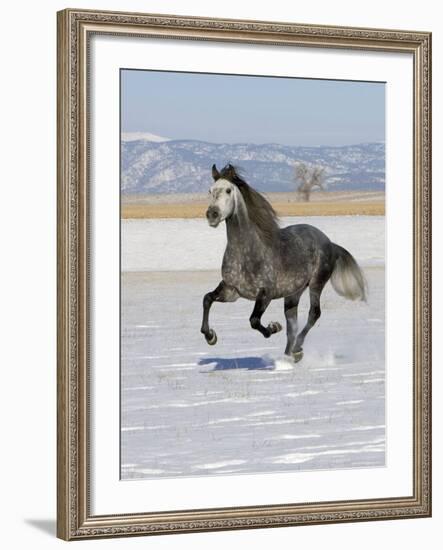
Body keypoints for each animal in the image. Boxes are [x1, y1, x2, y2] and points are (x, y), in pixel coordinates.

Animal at [201, 164, 368, 362]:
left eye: (228, 190)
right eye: (210, 191)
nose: (212, 215)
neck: (247, 253)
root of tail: (329, 243)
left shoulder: (265, 294)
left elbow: (254, 321)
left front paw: (273, 327)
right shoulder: (231, 290)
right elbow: (207, 299)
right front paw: (211, 336)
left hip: (316, 284)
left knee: (313, 314)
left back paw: (297, 349)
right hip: (293, 293)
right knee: (292, 325)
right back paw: (289, 357)